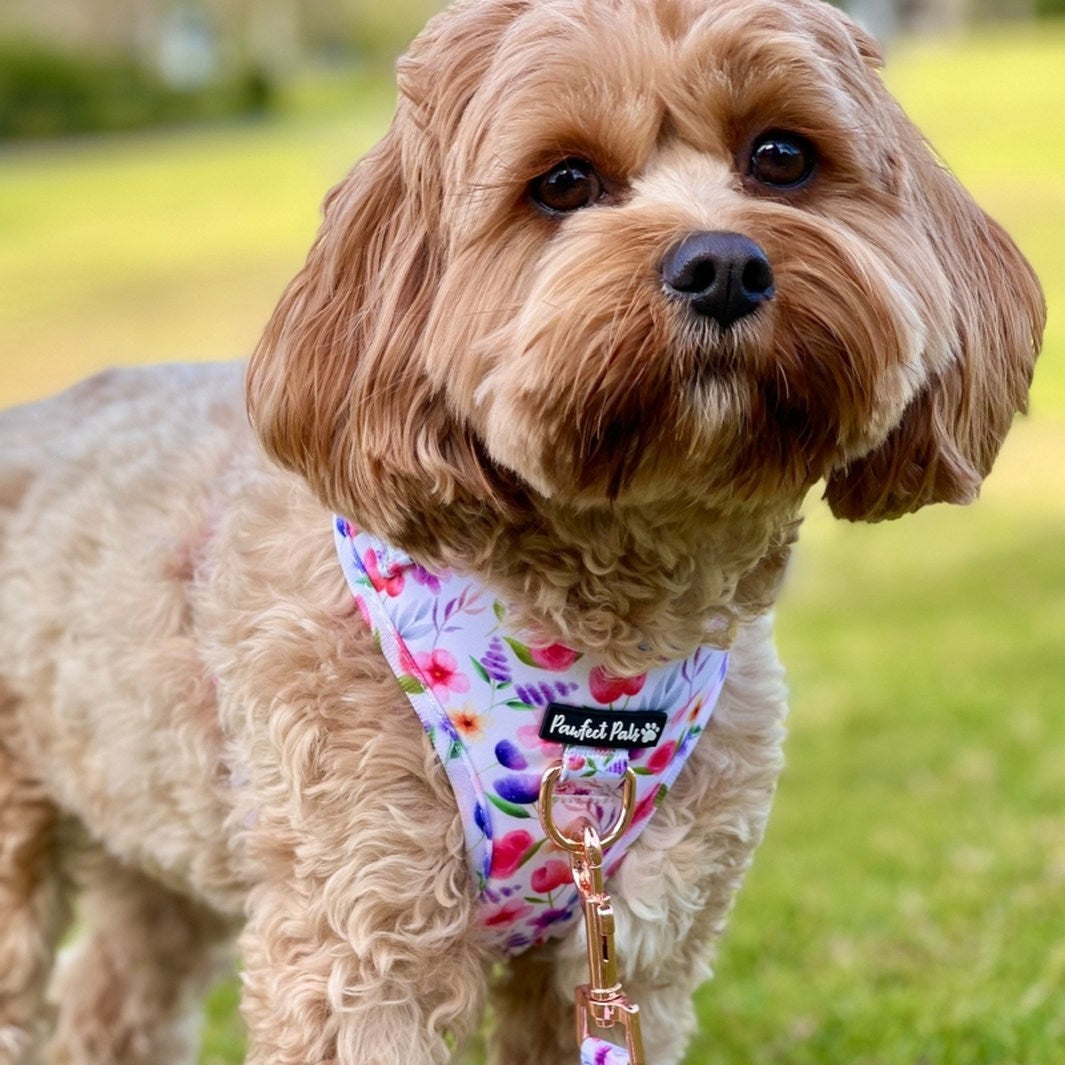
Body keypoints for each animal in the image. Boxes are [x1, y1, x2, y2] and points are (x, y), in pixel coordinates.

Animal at [0, 0, 1043, 1060]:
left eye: (782, 155)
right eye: (565, 181)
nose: (721, 264)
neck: (594, 655)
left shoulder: (635, 938)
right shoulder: (362, 936)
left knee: (110, 996)